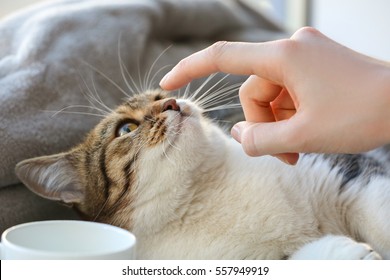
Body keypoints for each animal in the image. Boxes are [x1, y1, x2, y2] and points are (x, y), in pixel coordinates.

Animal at [14, 88, 390, 260]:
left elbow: (376, 212)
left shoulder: (344, 170)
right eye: (126, 129)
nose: (172, 102)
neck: (204, 192)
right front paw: (345, 253)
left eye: (160, 93)